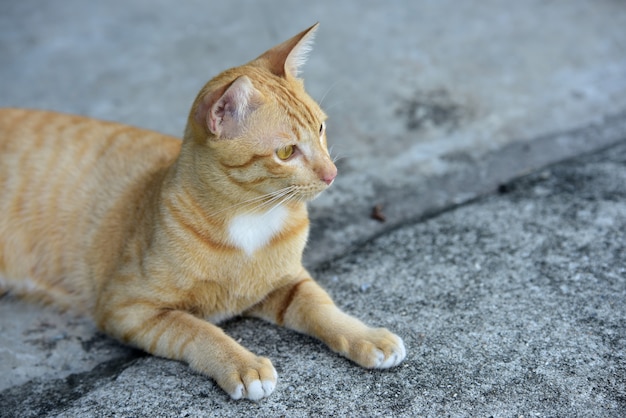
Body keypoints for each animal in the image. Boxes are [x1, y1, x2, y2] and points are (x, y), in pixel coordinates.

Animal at [0, 23, 404, 402]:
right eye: (287, 152)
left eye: (321, 128)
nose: (332, 173)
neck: (251, 215)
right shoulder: (127, 309)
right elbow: (199, 329)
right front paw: (241, 362)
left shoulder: (289, 282)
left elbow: (323, 308)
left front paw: (366, 335)